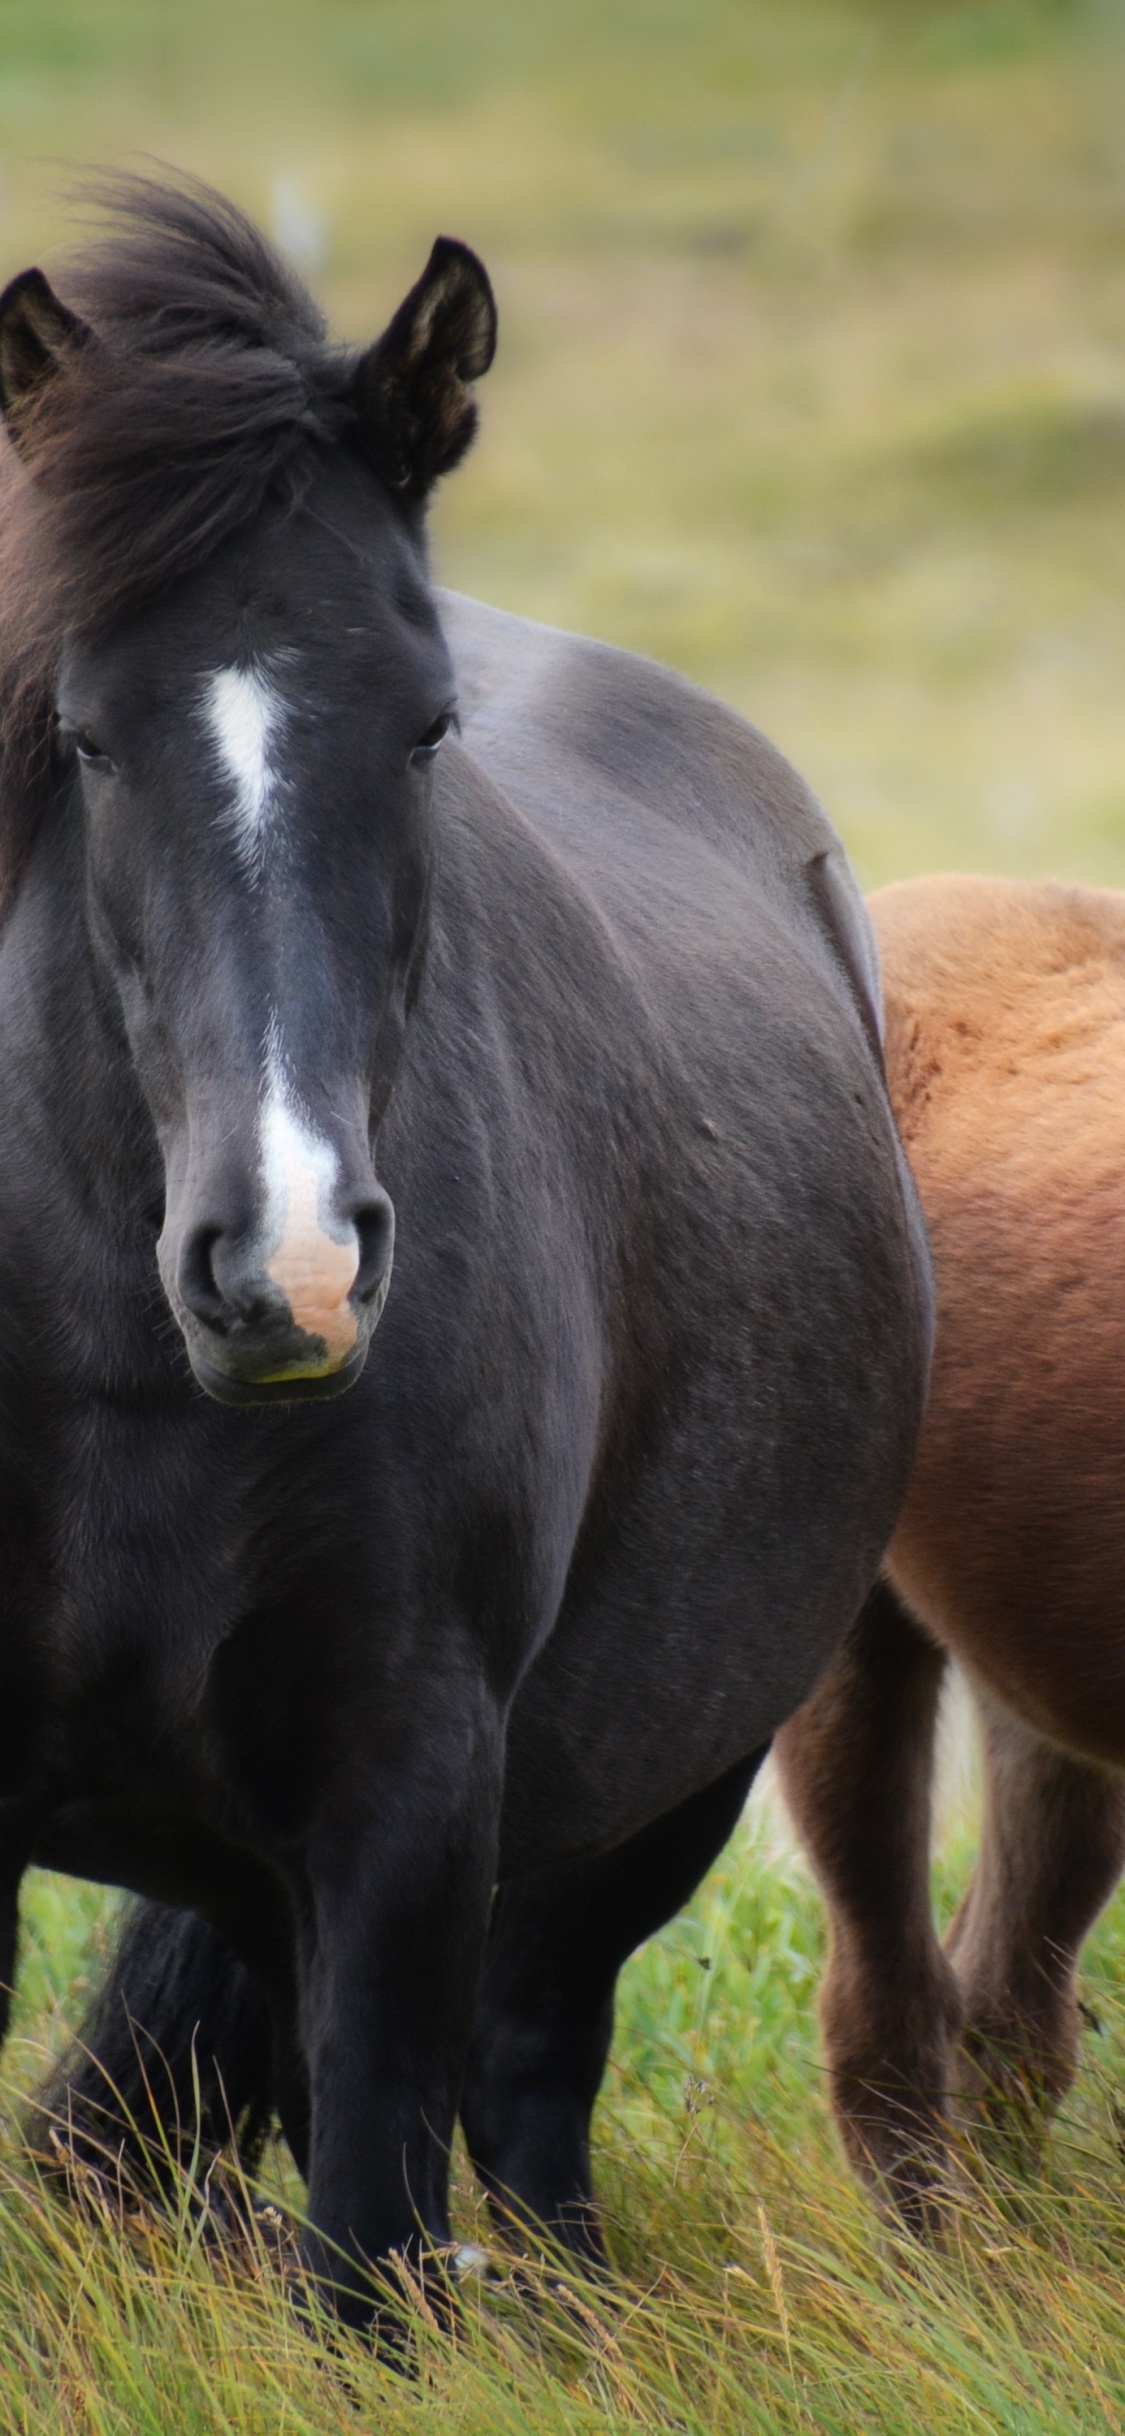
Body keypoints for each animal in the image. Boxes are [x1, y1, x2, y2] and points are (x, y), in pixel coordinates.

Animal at [0, 174, 930, 2325]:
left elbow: (364, 2253)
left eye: (424, 730)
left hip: (652, 1795)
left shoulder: (411, 1796)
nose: (289, 1270)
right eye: (84, 738)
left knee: (521, 2088)